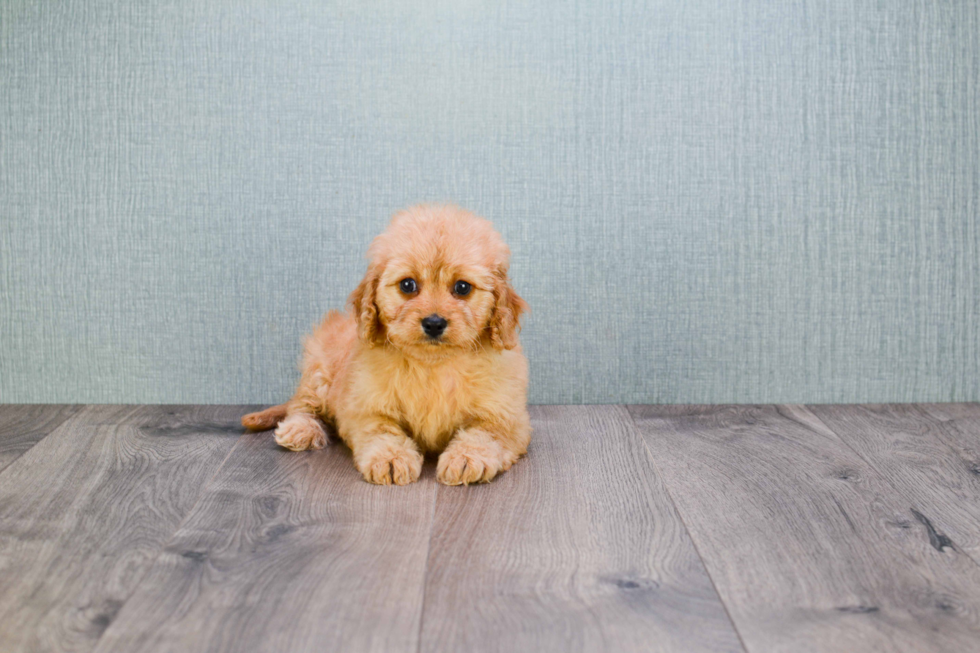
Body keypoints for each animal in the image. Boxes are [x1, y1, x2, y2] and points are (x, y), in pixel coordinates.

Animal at [245, 204, 536, 484]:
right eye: (408, 285)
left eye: (462, 287)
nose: (433, 323)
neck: (432, 365)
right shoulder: (364, 408)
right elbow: (383, 431)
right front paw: (391, 458)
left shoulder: (507, 417)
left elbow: (484, 433)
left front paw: (466, 458)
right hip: (319, 370)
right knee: (302, 405)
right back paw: (300, 429)